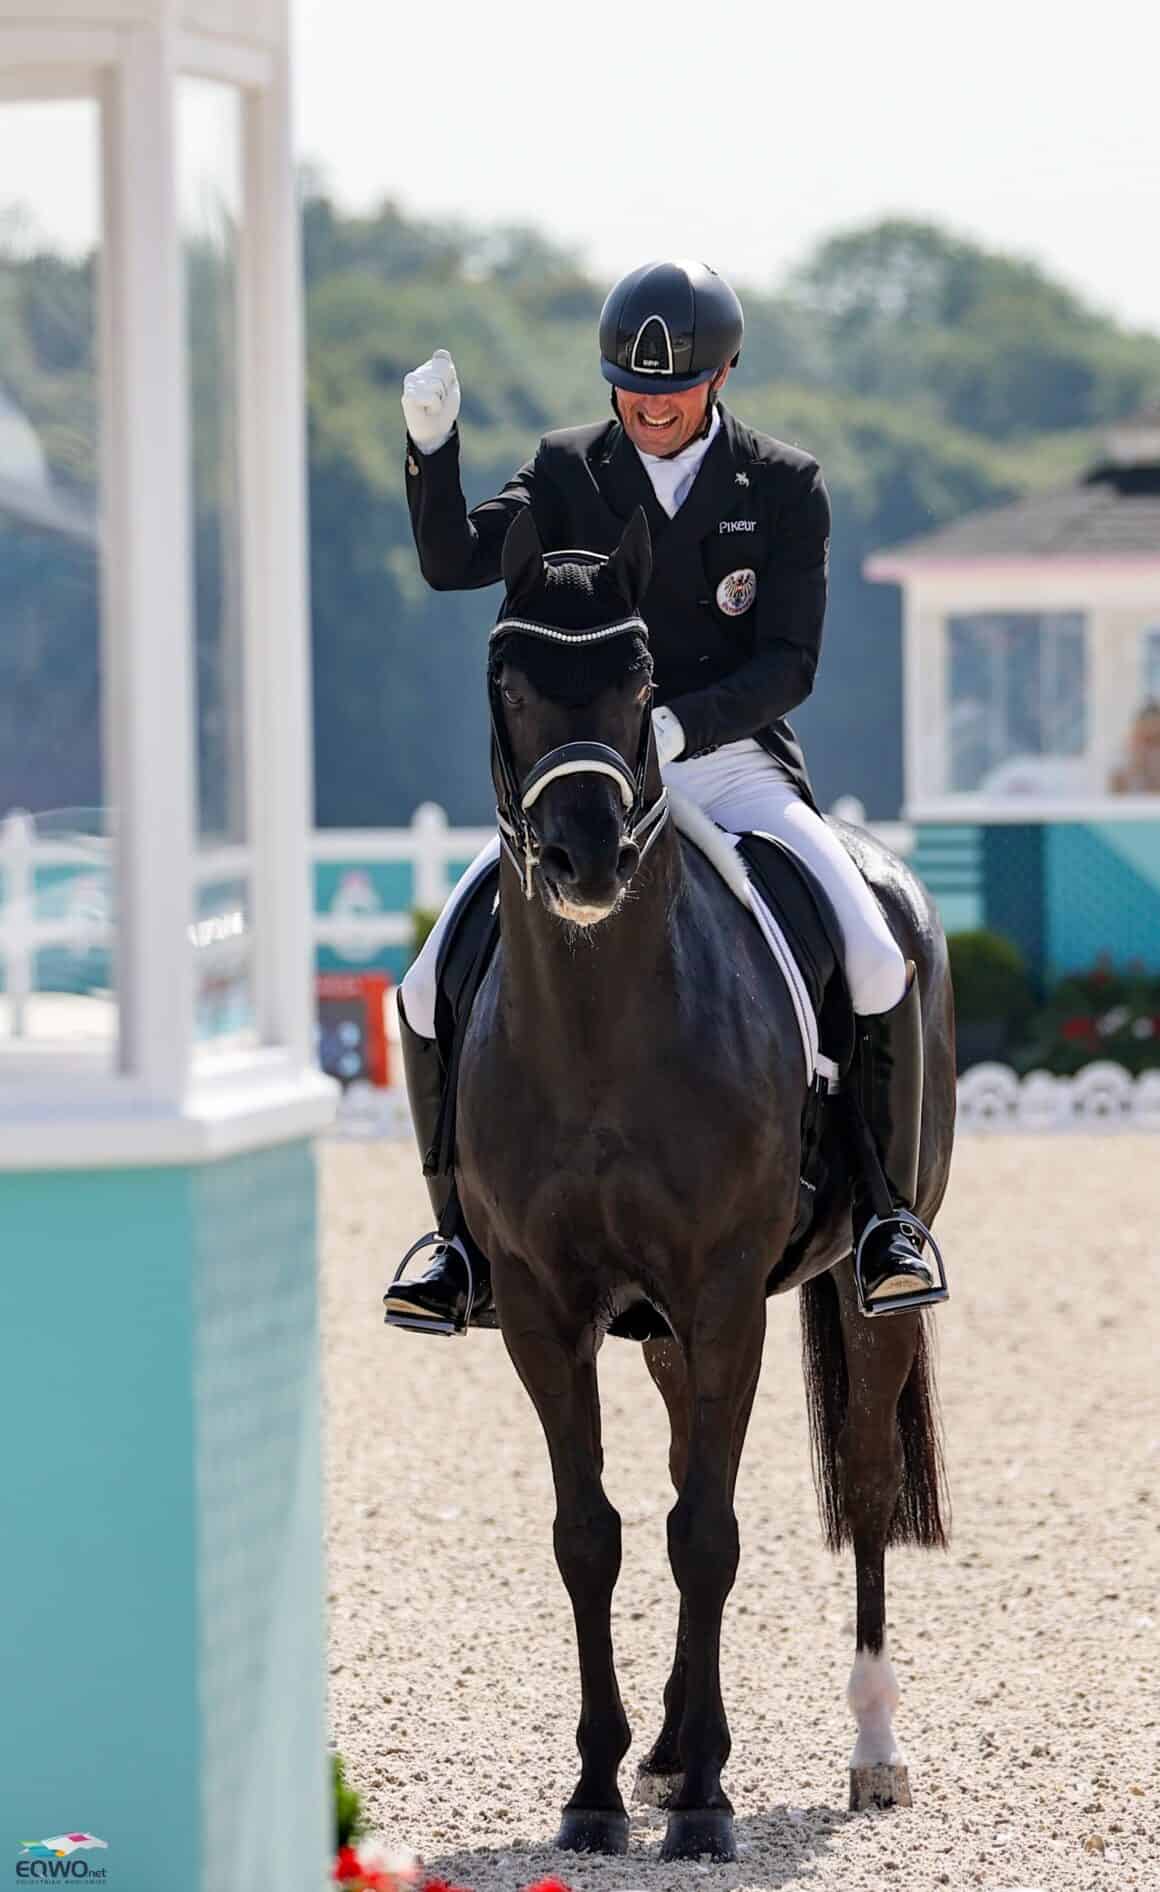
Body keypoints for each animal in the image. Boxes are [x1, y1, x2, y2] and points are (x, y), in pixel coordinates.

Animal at [448, 503, 946, 1861]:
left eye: (639, 683)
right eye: (507, 678)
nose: (582, 859)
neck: (599, 1028)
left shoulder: (723, 1295)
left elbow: (709, 1534)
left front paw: (710, 1802)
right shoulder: (540, 1305)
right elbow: (594, 1533)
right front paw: (596, 1788)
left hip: (866, 1284)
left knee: (863, 1489)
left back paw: (870, 1750)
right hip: (659, 1327)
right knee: (678, 1468)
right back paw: (668, 1746)